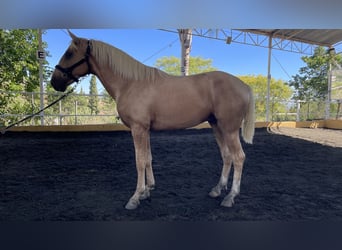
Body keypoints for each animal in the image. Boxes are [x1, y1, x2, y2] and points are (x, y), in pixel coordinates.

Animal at [50, 30, 254, 211]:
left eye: (69, 53)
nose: (54, 82)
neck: (130, 84)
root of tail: (244, 86)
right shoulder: (144, 129)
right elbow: (148, 158)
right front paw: (147, 190)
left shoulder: (138, 129)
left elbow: (139, 160)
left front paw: (135, 197)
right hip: (217, 126)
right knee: (227, 156)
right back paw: (218, 189)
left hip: (229, 129)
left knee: (238, 157)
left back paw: (230, 196)